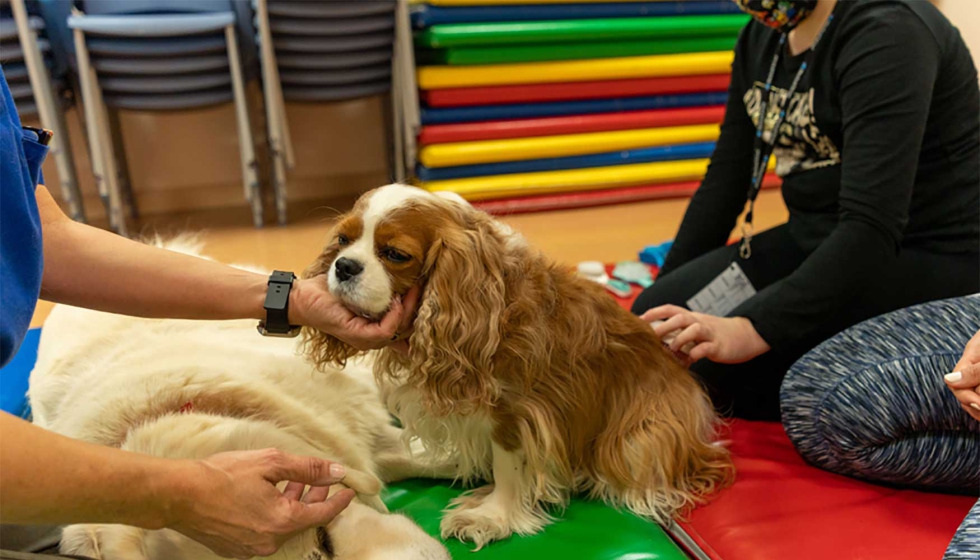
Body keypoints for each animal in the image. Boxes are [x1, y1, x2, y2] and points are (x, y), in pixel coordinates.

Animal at [302, 184, 732, 548]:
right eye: (343, 240)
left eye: (394, 254)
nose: (344, 266)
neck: (485, 299)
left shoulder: (517, 409)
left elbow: (508, 464)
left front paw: (491, 517)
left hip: (640, 435)